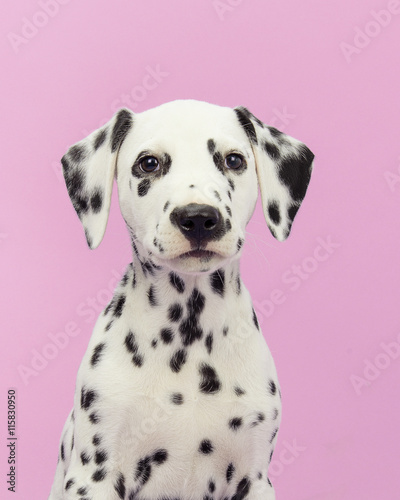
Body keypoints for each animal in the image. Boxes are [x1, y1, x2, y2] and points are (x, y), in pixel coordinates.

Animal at [48, 99, 314, 498]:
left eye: (233, 160)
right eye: (149, 163)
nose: (199, 217)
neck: (190, 336)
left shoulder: (254, 477)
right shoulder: (94, 475)